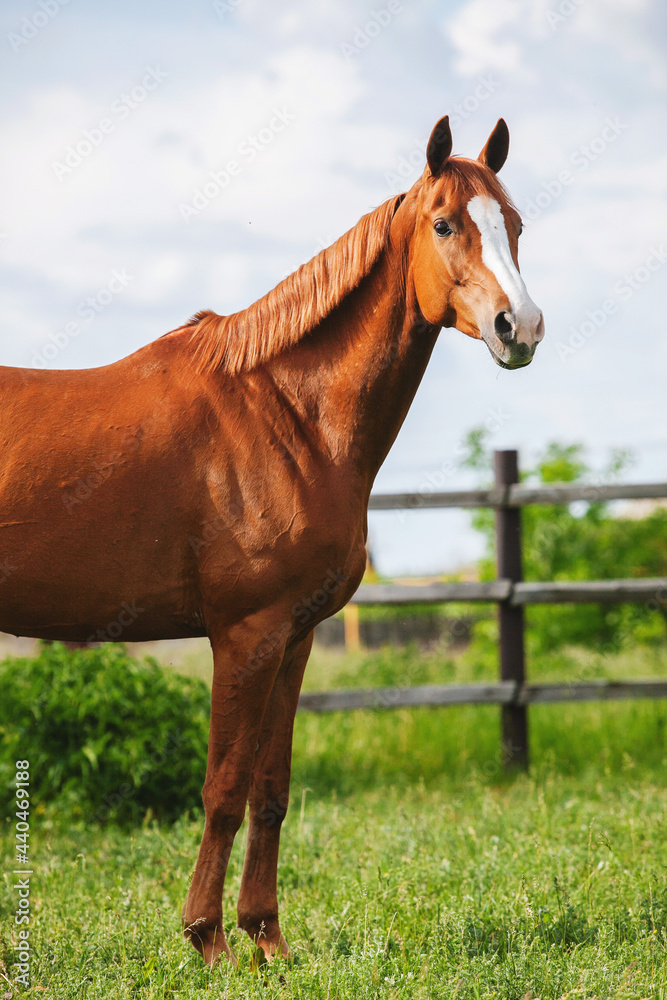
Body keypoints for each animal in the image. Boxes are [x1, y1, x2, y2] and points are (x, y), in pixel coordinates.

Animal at [0, 115, 543, 965]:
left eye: (513, 225)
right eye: (444, 224)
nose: (518, 328)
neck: (285, 415)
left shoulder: (294, 637)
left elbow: (270, 790)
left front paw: (267, 940)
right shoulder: (245, 636)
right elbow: (223, 788)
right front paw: (209, 942)